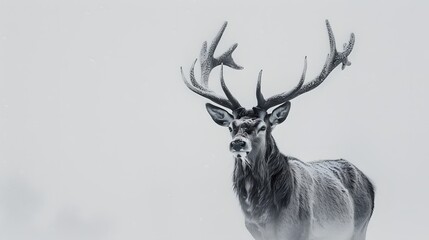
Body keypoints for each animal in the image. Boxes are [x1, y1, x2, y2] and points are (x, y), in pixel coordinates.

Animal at [181, 21, 374, 240]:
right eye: (231, 127)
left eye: (263, 126)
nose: (238, 143)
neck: (262, 216)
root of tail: (371, 184)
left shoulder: (301, 229)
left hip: (360, 226)